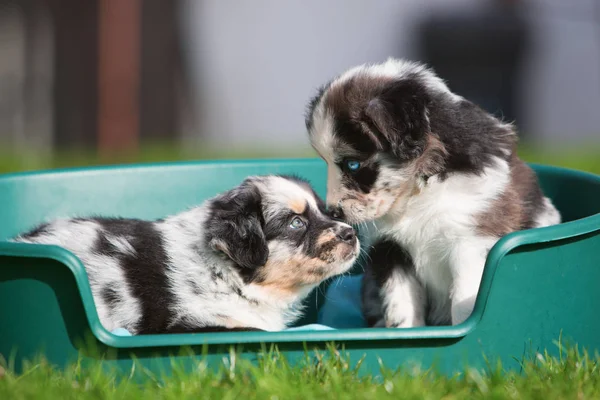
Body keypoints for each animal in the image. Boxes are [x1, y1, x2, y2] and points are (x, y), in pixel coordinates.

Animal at [304, 59, 564, 328]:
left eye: (353, 164)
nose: (334, 211)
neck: (419, 189)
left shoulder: (469, 241)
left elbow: (464, 304)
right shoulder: (390, 248)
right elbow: (401, 305)